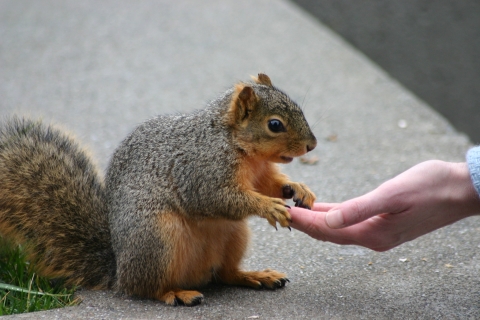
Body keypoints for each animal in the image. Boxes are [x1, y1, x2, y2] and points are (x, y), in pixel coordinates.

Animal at [0, 74, 316, 306]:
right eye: (274, 124)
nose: (311, 145)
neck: (235, 143)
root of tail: (118, 272)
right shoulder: (201, 171)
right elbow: (218, 198)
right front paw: (269, 206)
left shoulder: (260, 174)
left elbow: (268, 185)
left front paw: (298, 188)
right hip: (157, 239)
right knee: (146, 288)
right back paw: (175, 293)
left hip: (233, 236)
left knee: (225, 274)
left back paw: (254, 276)